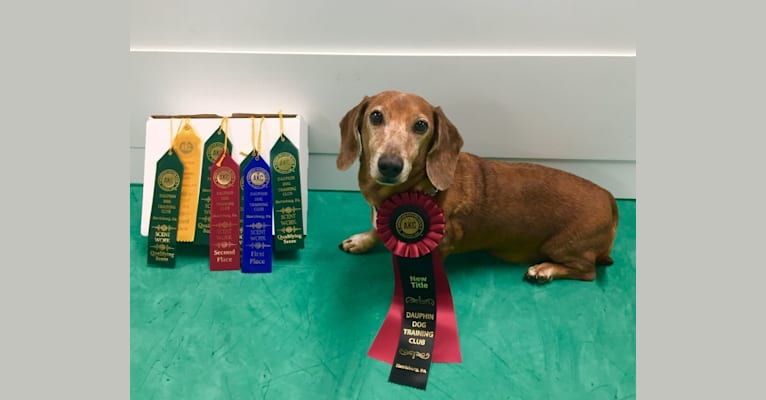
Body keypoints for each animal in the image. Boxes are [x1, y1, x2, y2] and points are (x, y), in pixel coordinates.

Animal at [340, 91, 620, 284]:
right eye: (376, 116)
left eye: (421, 125)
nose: (390, 165)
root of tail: (608, 198)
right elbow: (377, 229)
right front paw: (362, 239)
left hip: (560, 247)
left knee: (588, 271)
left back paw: (544, 269)